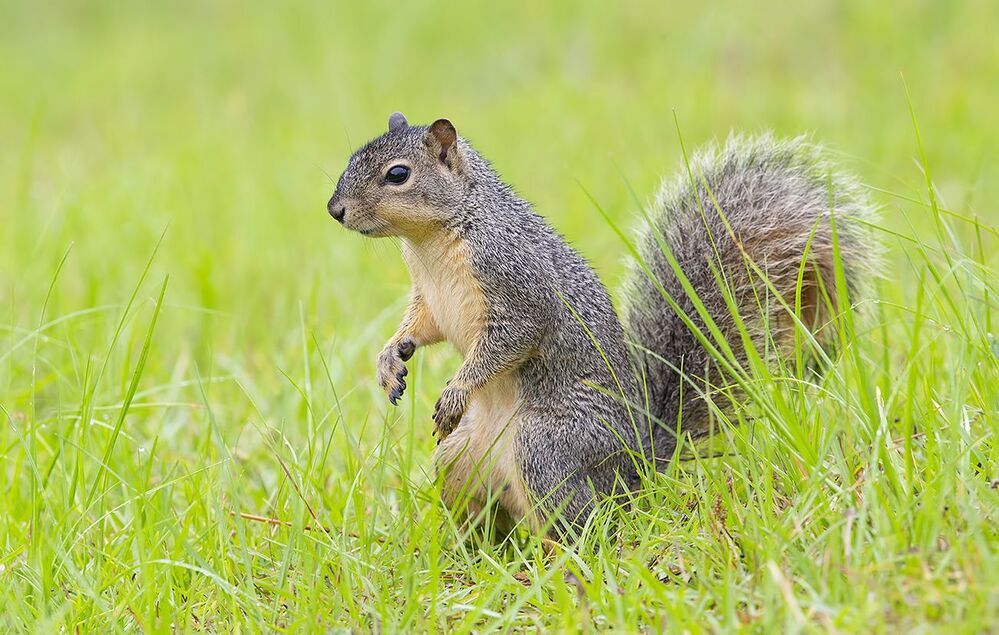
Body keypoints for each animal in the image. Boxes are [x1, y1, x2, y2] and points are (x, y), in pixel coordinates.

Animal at [326, 112, 877, 539]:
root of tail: (641, 462)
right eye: (352, 157)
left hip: (547, 447)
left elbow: (511, 340)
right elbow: (421, 327)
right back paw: (473, 551)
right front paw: (390, 359)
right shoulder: (429, 299)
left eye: (398, 174)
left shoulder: (517, 283)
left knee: (580, 524)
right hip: (460, 458)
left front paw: (456, 392)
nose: (335, 210)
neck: (433, 240)